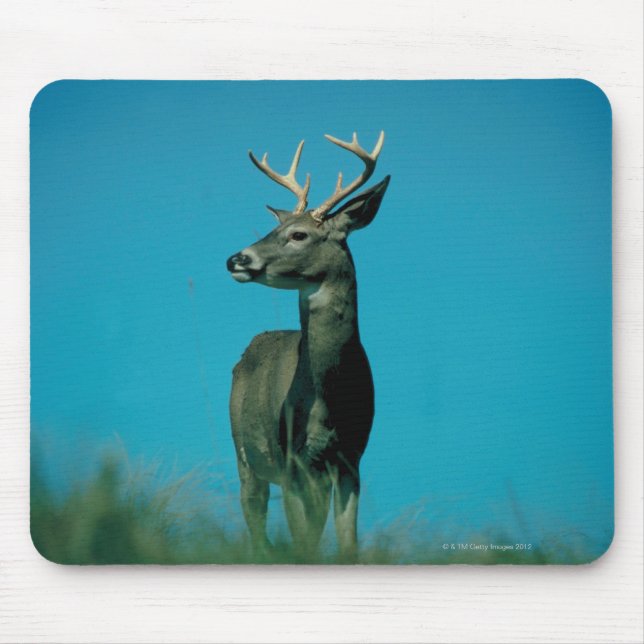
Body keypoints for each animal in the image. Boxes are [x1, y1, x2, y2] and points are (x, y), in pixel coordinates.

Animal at [226, 130, 390, 561]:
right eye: (276, 229)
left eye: (298, 234)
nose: (235, 259)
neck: (330, 400)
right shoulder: (292, 461)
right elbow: (303, 542)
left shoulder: (350, 459)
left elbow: (346, 543)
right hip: (245, 453)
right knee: (254, 518)